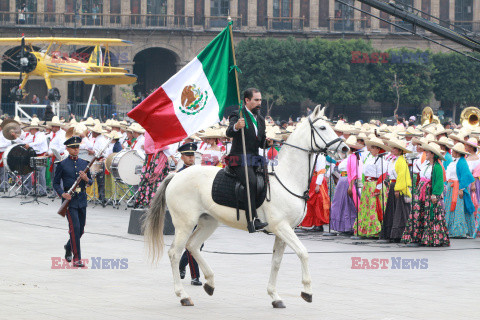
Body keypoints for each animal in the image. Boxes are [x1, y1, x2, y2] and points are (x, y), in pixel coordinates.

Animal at [142, 106, 348, 308]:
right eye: (323, 128)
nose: (345, 148)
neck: (287, 178)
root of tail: (176, 175)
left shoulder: (283, 230)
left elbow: (276, 262)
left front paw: (275, 296)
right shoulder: (282, 227)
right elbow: (303, 253)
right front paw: (307, 291)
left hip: (208, 222)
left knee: (192, 246)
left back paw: (210, 283)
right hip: (185, 223)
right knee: (175, 253)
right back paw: (183, 295)